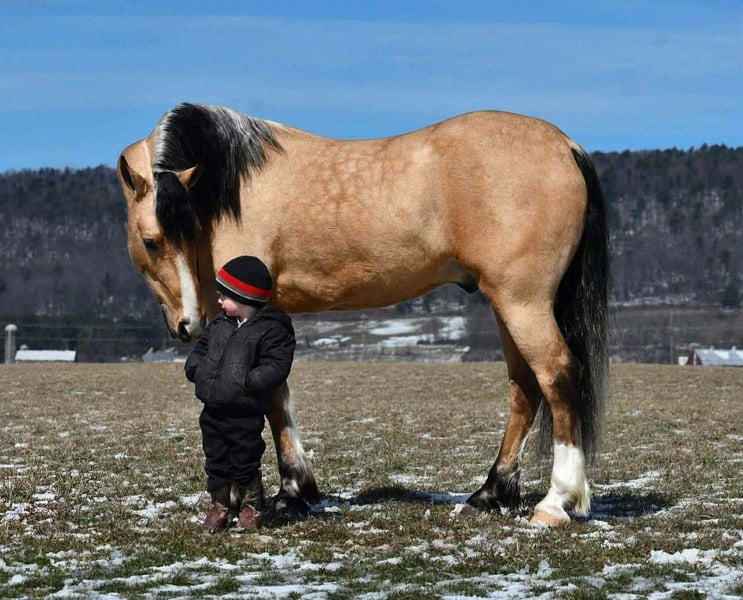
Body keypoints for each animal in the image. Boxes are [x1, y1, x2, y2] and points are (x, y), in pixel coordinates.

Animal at [117, 102, 608, 526]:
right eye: (153, 240)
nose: (188, 325)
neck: (233, 190)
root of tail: (566, 145)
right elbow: (278, 396)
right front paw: (298, 490)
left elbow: (272, 400)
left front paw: (291, 494)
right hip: (508, 305)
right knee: (524, 388)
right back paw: (488, 494)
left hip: (522, 302)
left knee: (557, 375)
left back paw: (555, 503)